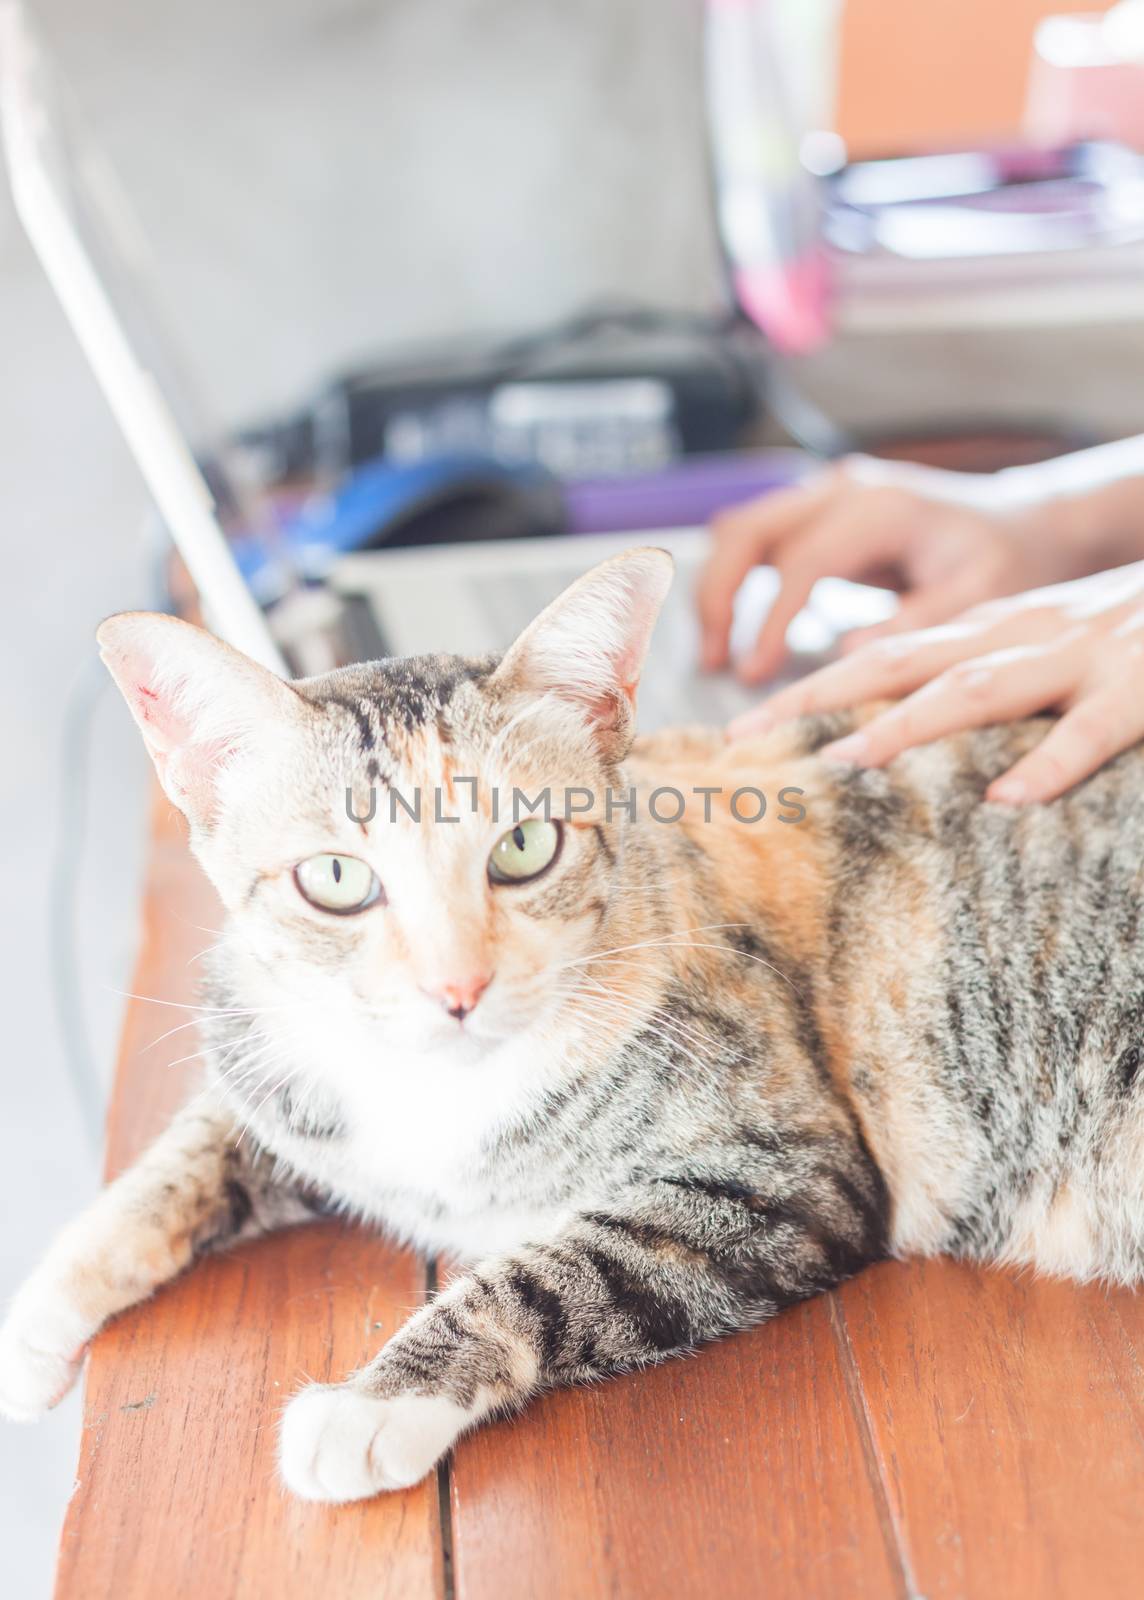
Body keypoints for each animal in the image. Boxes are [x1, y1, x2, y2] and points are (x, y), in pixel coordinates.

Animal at [2, 550, 1144, 1497]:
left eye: (522, 847)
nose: (455, 988)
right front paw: (34, 1324)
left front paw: (371, 1406)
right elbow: (176, 1162)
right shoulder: (277, 1069)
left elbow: (555, 1271)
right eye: (334, 879)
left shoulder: (787, 1172)